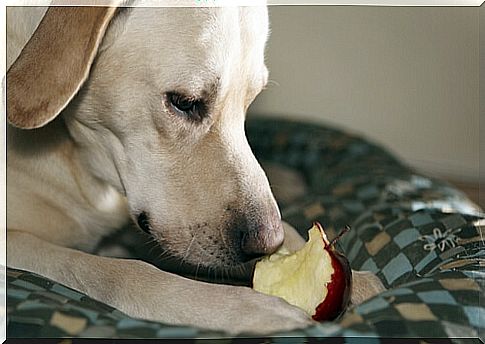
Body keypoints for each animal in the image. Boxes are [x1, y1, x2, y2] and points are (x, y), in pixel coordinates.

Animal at [5, 2, 384, 336]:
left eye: (250, 102)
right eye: (185, 103)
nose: (267, 242)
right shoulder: (19, 244)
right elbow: (110, 270)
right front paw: (240, 308)